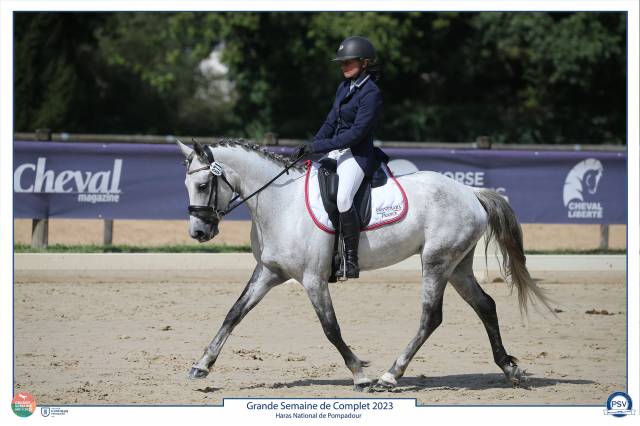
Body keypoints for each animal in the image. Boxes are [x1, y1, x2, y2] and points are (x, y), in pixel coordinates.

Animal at [177, 139, 552, 391]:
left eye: (203, 185)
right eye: (187, 185)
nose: (199, 232)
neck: (279, 202)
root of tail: (471, 193)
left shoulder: (313, 279)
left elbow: (331, 328)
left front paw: (360, 373)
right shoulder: (269, 272)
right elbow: (234, 313)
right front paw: (202, 365)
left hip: (436, 261)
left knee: (431, 317)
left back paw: (390, 374)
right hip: (457, 265)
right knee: (485, 305)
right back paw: (509, 369)